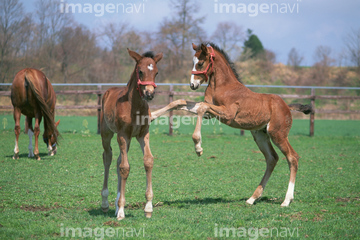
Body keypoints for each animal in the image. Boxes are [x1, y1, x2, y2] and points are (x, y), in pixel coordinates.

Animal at [101, 49, 163, 221]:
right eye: (140, 71)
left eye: (156, 72)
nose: (149, 93)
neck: (134, 106)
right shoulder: (123, 134)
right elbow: (125, 168)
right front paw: (121, 210)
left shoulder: (143, 134)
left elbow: (148, 161)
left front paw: (148, 207)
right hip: (107, 134)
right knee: (108, 158)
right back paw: (105, 203)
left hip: (126, 140)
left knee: (117, 160)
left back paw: (115, 206)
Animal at [150, 43, 310, 208]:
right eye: (193, 62)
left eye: (200, 63)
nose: (192, 85)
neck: (222, 86)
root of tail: (287, 106)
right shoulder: (211, 113)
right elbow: (179, 102)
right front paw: (151, 116)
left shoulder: (227, 115)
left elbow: (202, 107)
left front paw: (198, 147)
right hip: (260, 135)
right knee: (272, 159)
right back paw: (252, 198)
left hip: (278, 134)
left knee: (292, 157)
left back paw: (286, 200)